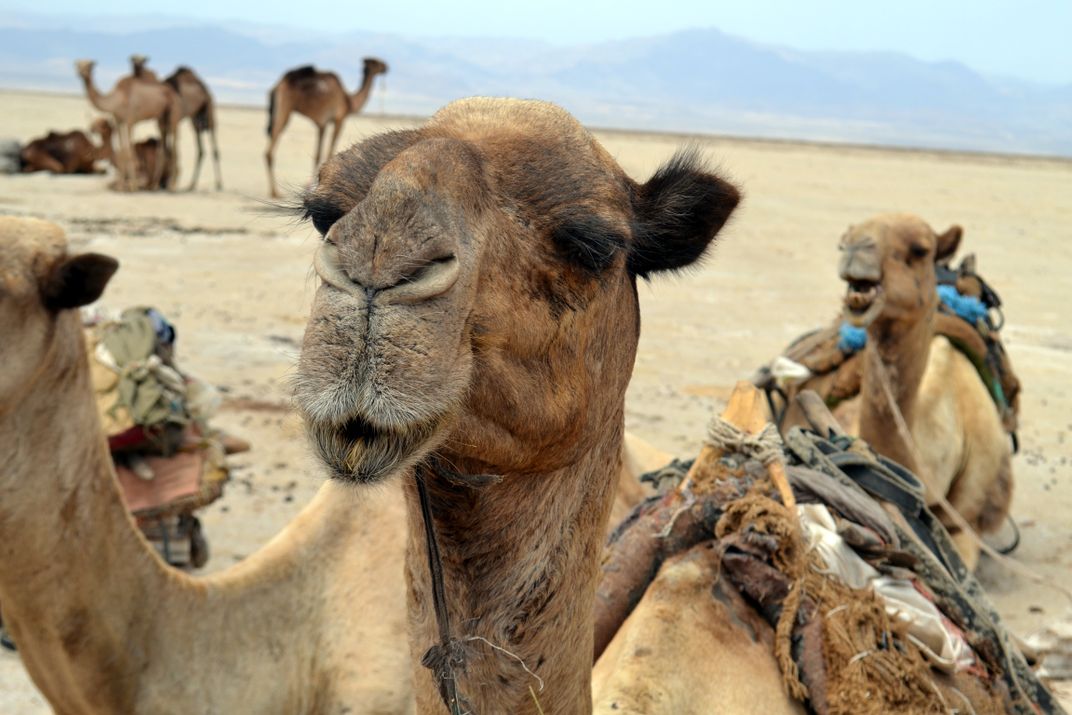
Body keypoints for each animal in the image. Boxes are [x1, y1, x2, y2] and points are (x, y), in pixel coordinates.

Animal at [75, 58, 180, 191]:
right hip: (161, 118)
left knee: (175, 143)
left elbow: (129, 150)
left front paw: (132, 186)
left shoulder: (130, 120)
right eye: (77, 65)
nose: (81, 72)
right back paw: (155, 185)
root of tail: (174, 93)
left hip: (174, 113)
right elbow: (124, 149)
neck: (117, 99)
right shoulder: (119, 121)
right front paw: (121, 186)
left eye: (89, 66)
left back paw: (172, 186)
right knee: (163, 147)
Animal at [264, 56, 390, 198]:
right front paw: (310, 187)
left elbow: (318, 154)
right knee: (270, 150)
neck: (348, 101)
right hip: (284, 108)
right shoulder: (338, 119)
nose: (387, 67)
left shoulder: (322, 123)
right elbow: (326, 152)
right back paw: (275, 192)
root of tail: (277, 87)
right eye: (376, 62)